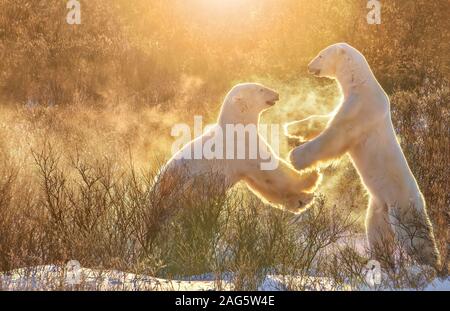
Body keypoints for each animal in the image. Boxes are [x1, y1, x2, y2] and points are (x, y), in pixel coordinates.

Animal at [158, 83, 320, 214]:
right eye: (261, 89)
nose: (277, 93)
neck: (237, 126)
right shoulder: (243, 147)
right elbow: (271, 171)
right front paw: (311, 176)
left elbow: (261, 184)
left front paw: (301, 201)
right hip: (188, 189)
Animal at [288, 43, 440, 268]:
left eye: (321, 55)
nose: (309, 66)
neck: (360, 83)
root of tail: (421, 200)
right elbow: (326, 119)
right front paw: (292, 127)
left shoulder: (359, 109)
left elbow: (334, 136)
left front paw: (295, 157)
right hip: (378, 207)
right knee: (377, 234)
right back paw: (381, 261)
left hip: (402, 206)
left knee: (415, 237)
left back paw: (431, 265)